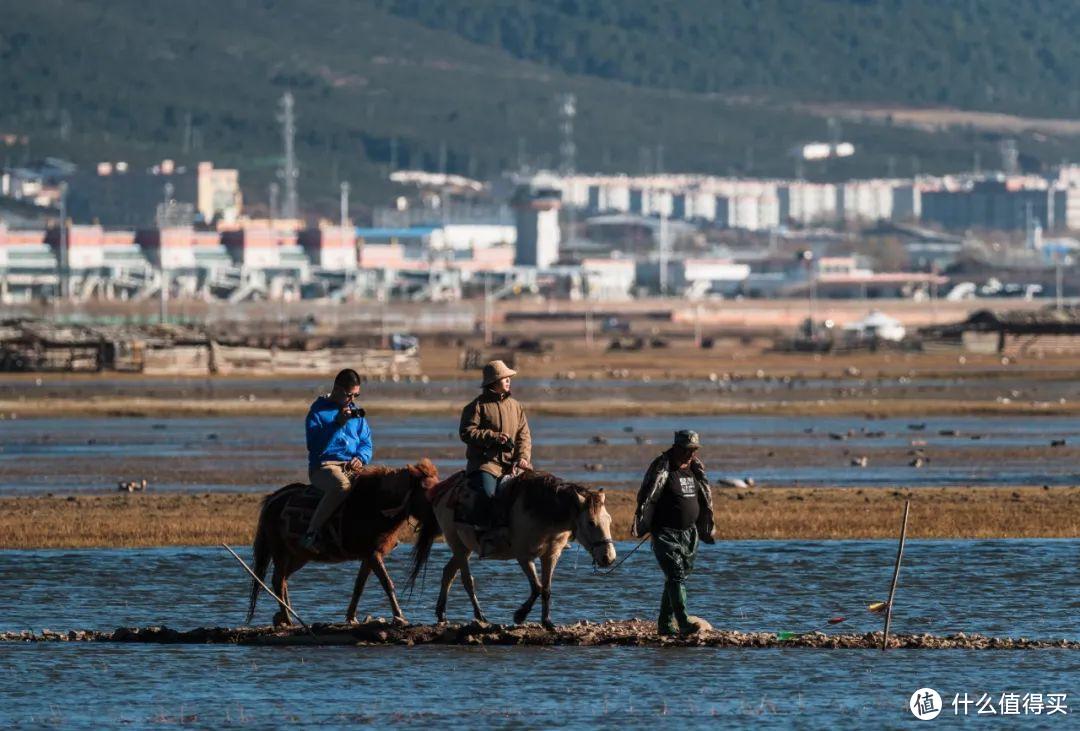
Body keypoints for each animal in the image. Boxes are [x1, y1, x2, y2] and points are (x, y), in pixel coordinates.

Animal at [247, 459, 440, 626]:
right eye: (425, 489)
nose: (438, 526)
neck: (376, 504)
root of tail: (272, 499)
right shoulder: (372, 553)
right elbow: (387, 584)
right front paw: (400, 617)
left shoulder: (368, 555)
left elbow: (359, 587)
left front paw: (351, 618)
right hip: (280, 552)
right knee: (278, 581)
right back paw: (287, 619)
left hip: (298, 556)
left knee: (283, 580)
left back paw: (286, 616)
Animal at [408, 470, 622, 630]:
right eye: (591, 522)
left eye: (609, 519)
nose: (609, 558)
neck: (542, 510)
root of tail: (443, 490)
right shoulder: (524, 556)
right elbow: (536, 587)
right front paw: (519, 616)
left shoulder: (551, 555)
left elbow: (546, 589)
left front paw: (547, 622)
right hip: (457, 544)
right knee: (466, 580)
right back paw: (480, 616)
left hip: (465, 547)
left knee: (448, 573)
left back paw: (441, 614)